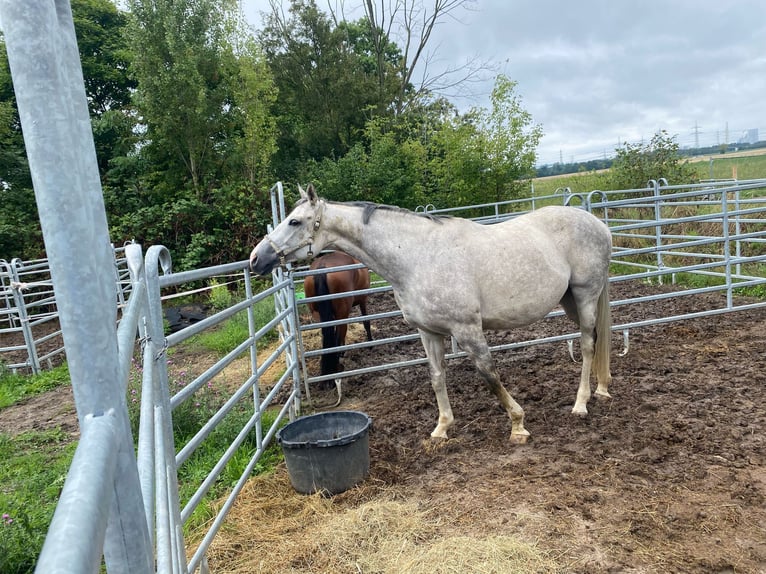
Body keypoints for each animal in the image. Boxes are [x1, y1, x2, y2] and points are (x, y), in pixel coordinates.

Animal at [303, 250, 373, 405]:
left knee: (328, 337)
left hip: (319, 315)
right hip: (343, 311)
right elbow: (366, 322)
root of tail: (321, 268)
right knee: (337, 335)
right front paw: (371, 343)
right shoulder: (363, 299)